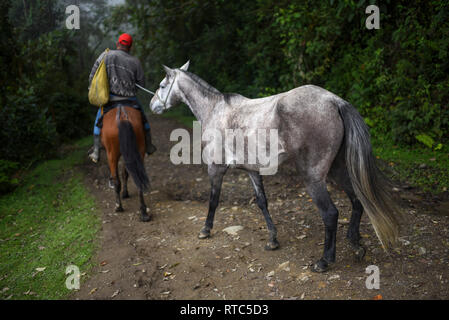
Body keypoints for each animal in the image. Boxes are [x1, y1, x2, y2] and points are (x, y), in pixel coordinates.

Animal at [149, 62, 400, 272]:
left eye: (162, 85)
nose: (153, 105)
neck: (215, 110)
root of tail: (335, 101)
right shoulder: (252, 171)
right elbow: (262, 202)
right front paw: (272, 240)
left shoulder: (216, 168)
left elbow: (213, 200)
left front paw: (205, 230)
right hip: (338, 171)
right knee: (357, 201)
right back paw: (355, 244)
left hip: (315, 178)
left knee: (330, 214)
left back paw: (324, 261)